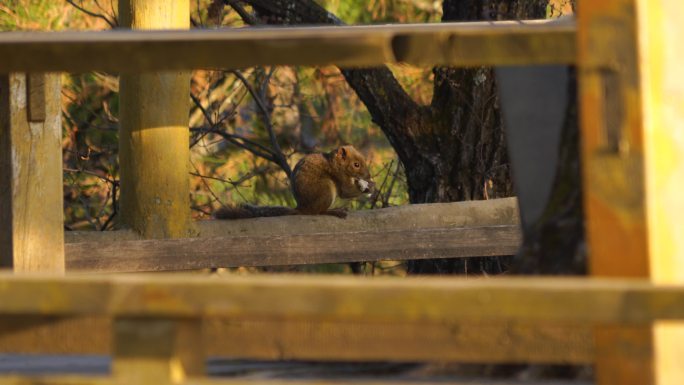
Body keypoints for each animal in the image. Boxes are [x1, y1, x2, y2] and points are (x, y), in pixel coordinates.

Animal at [214, 145, 374, 219]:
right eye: (356, 165)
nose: (369, 175)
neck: (335, 163)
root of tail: (302, 208)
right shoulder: (338, 176)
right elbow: (346, 191)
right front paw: (370, 186)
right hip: (326, 189)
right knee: (318, 212)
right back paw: (334, 211)